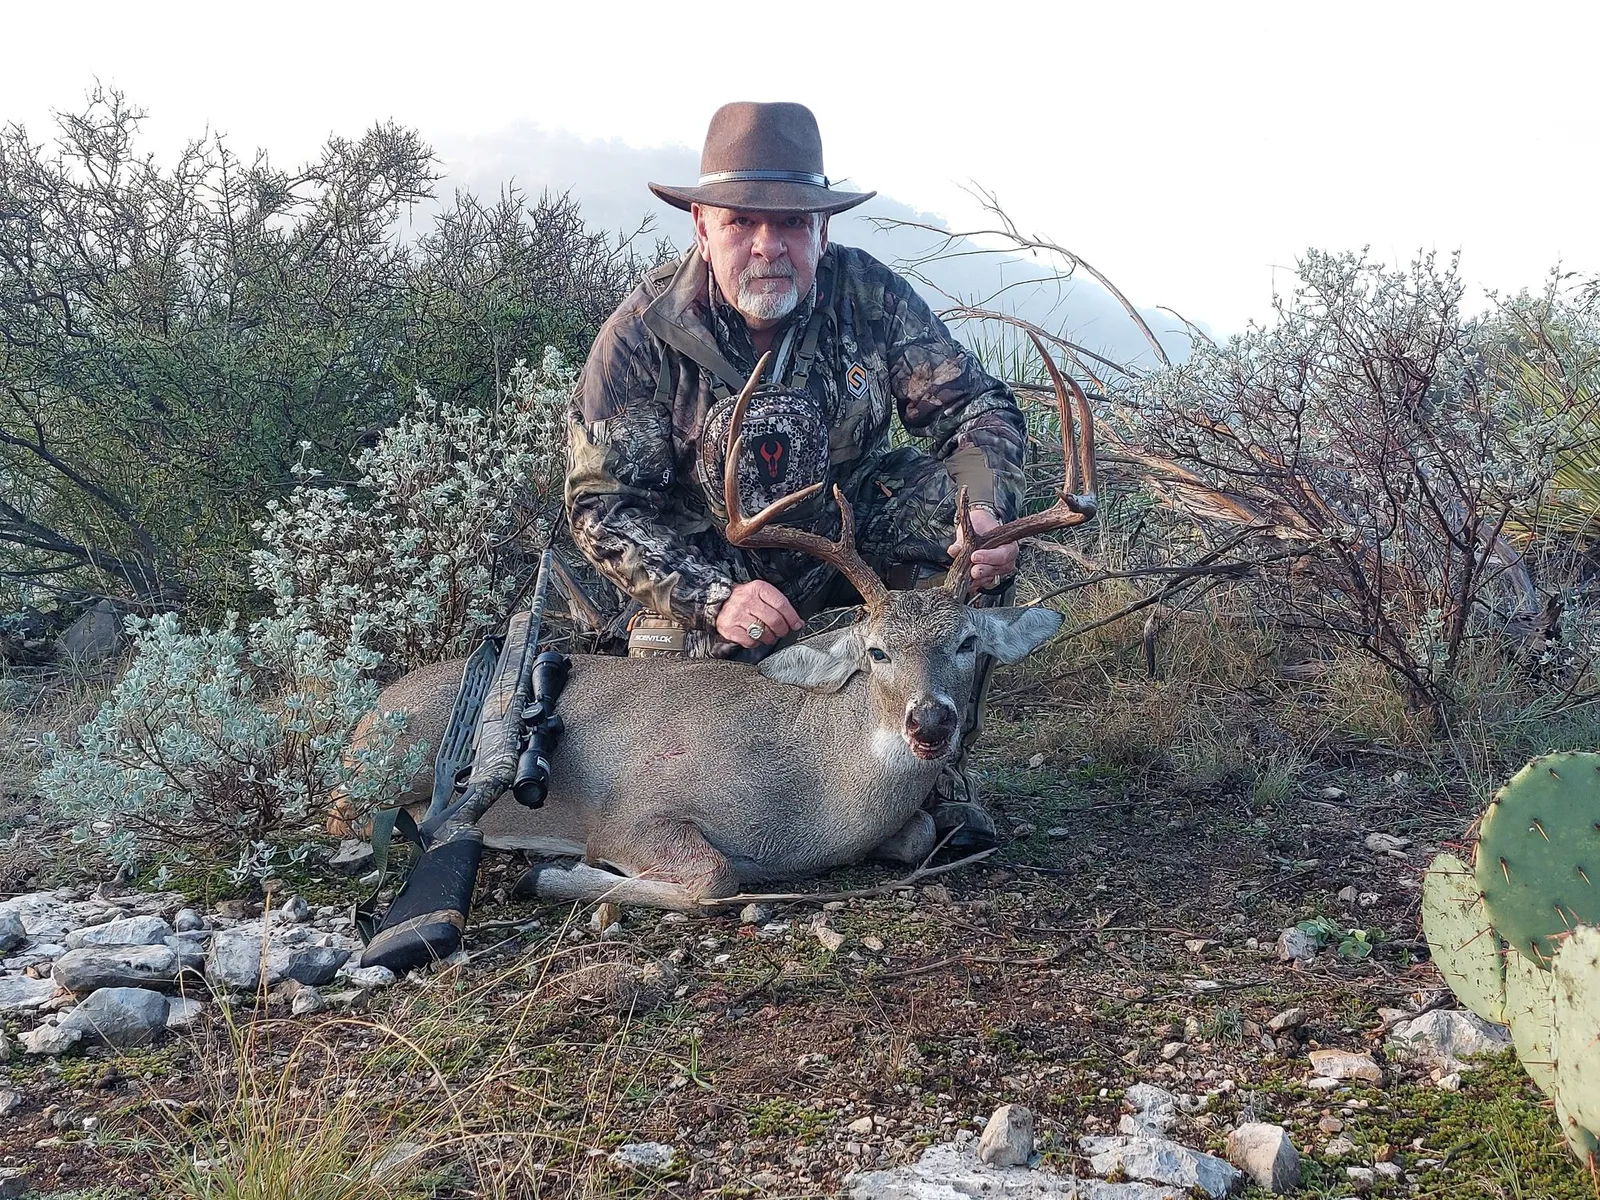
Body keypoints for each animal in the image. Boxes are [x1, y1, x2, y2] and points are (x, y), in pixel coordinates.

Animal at [342, 339, 1098, 912]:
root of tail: (365, 719)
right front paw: (549, 872)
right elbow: (713, 876)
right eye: (877, 651)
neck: (810, 795)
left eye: (966, 642)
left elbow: (915, 836)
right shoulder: (634, 813)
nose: (931, 721)